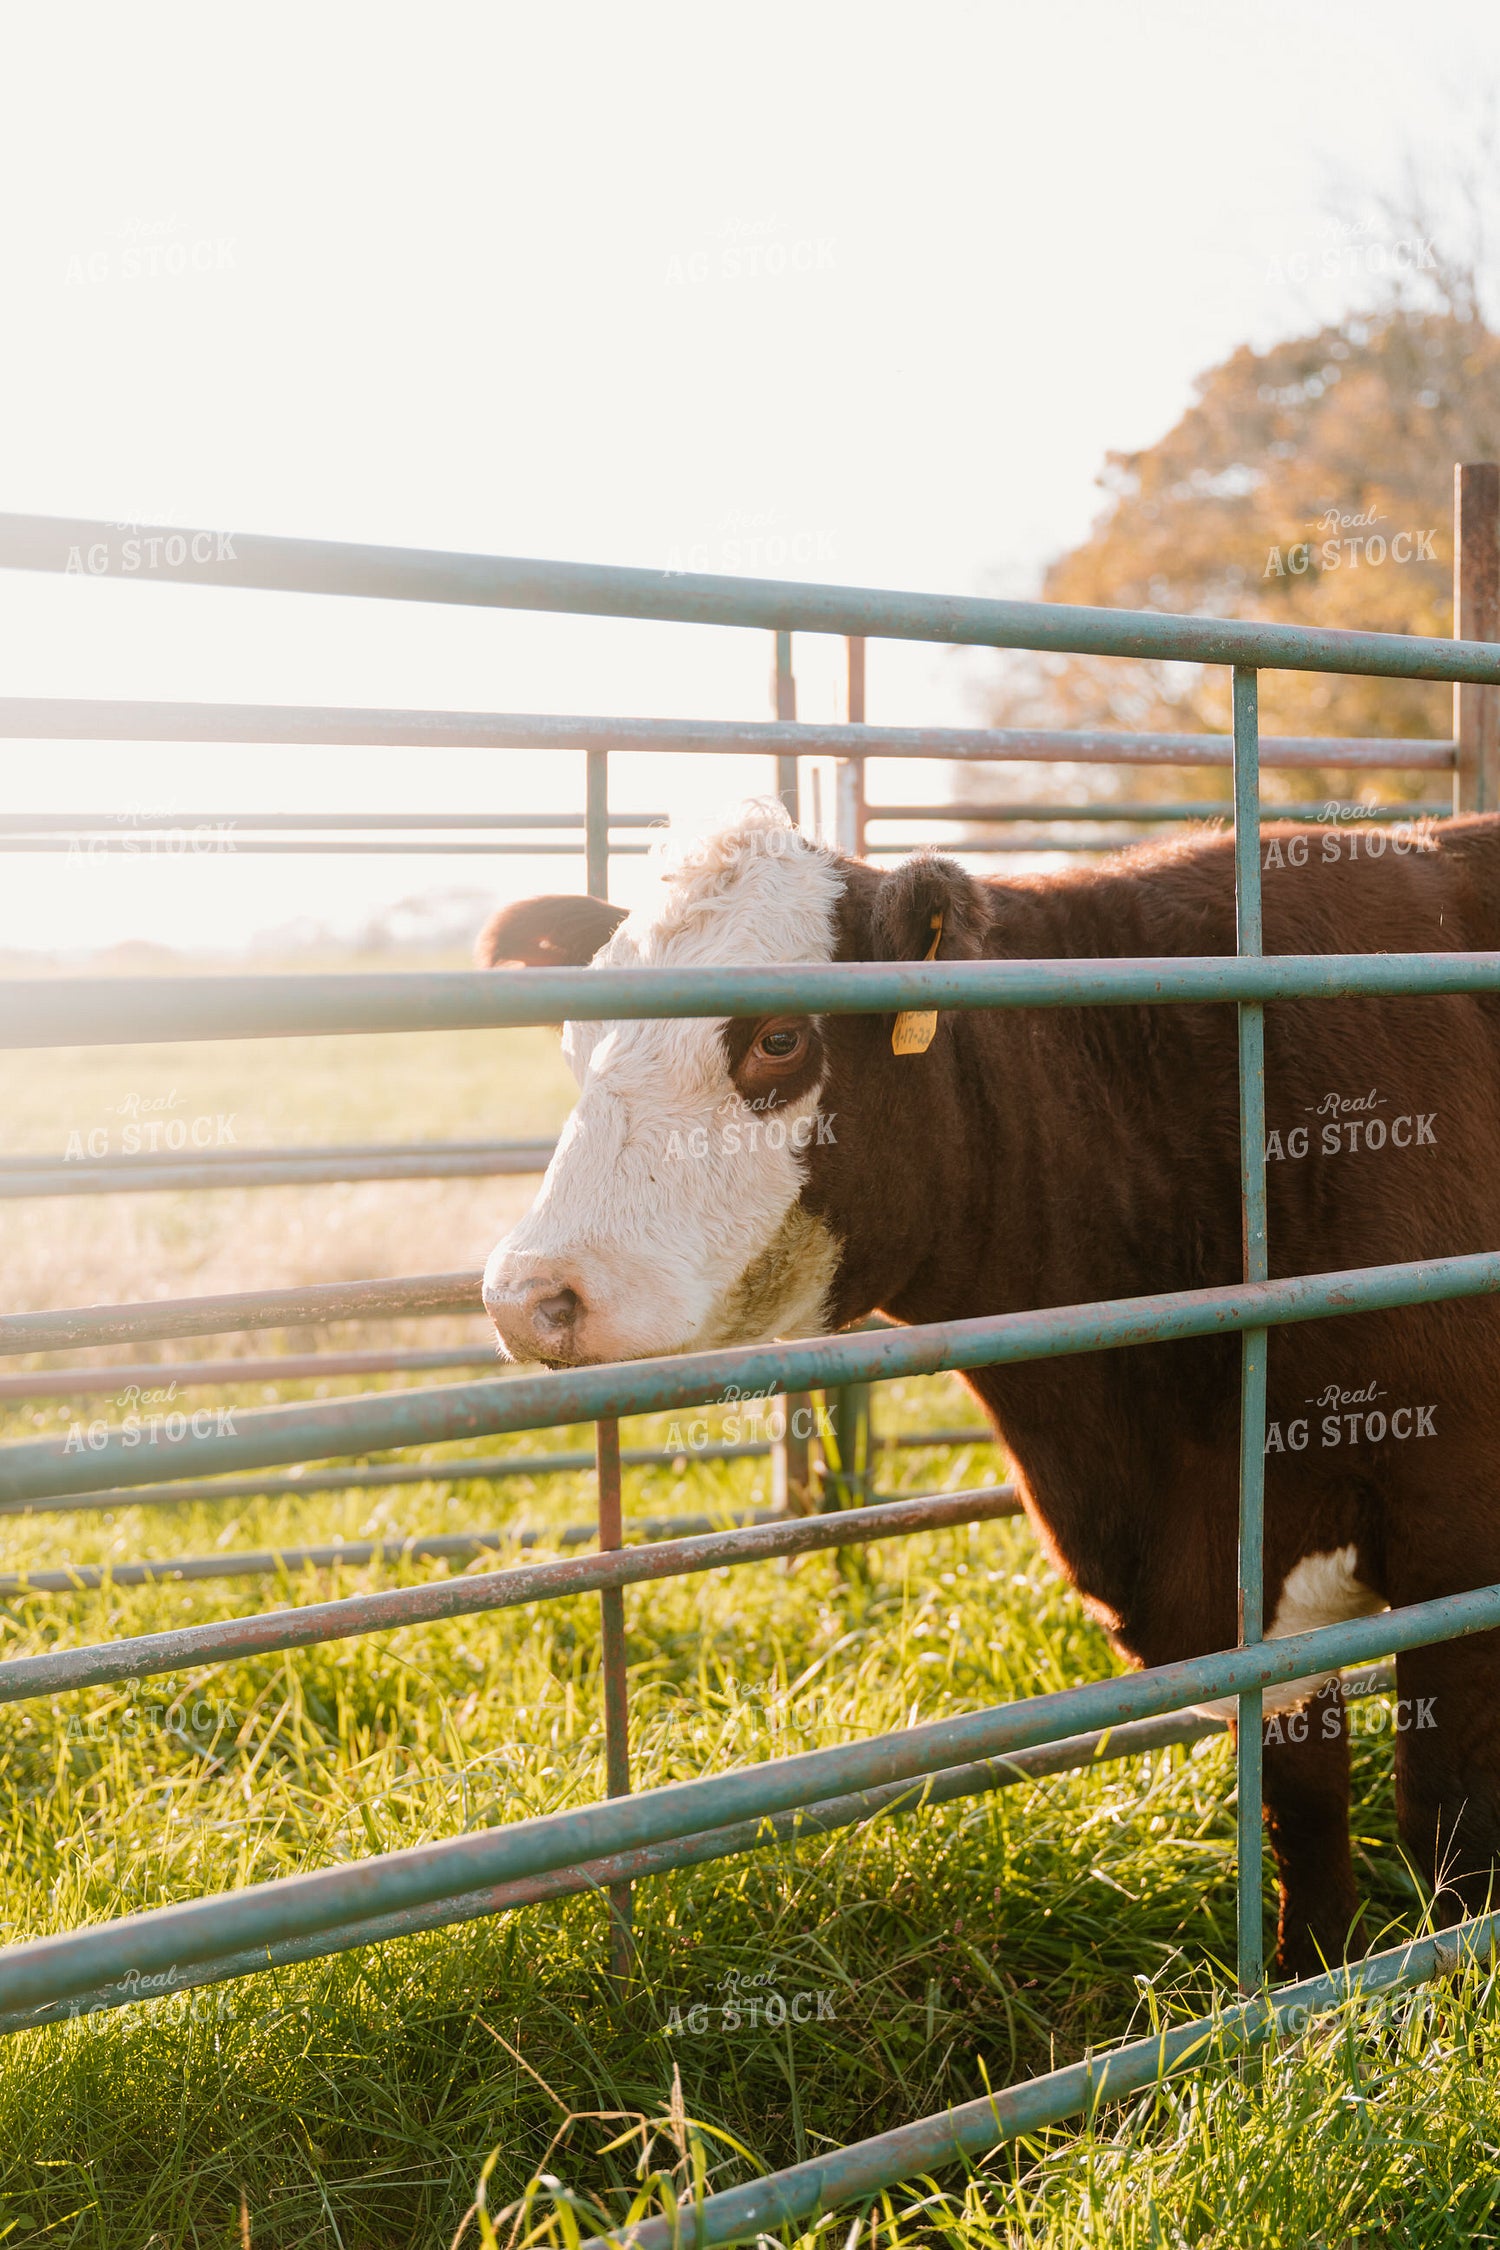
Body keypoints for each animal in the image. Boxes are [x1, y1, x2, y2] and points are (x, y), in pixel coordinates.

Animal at [478, 801, 1500, 1979]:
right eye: (575, 1036)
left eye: (779, 1039)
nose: (529, 1296)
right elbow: (1306, 1814)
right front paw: (1303, 1980)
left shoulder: (1457, 1540)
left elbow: (1451, 1829)